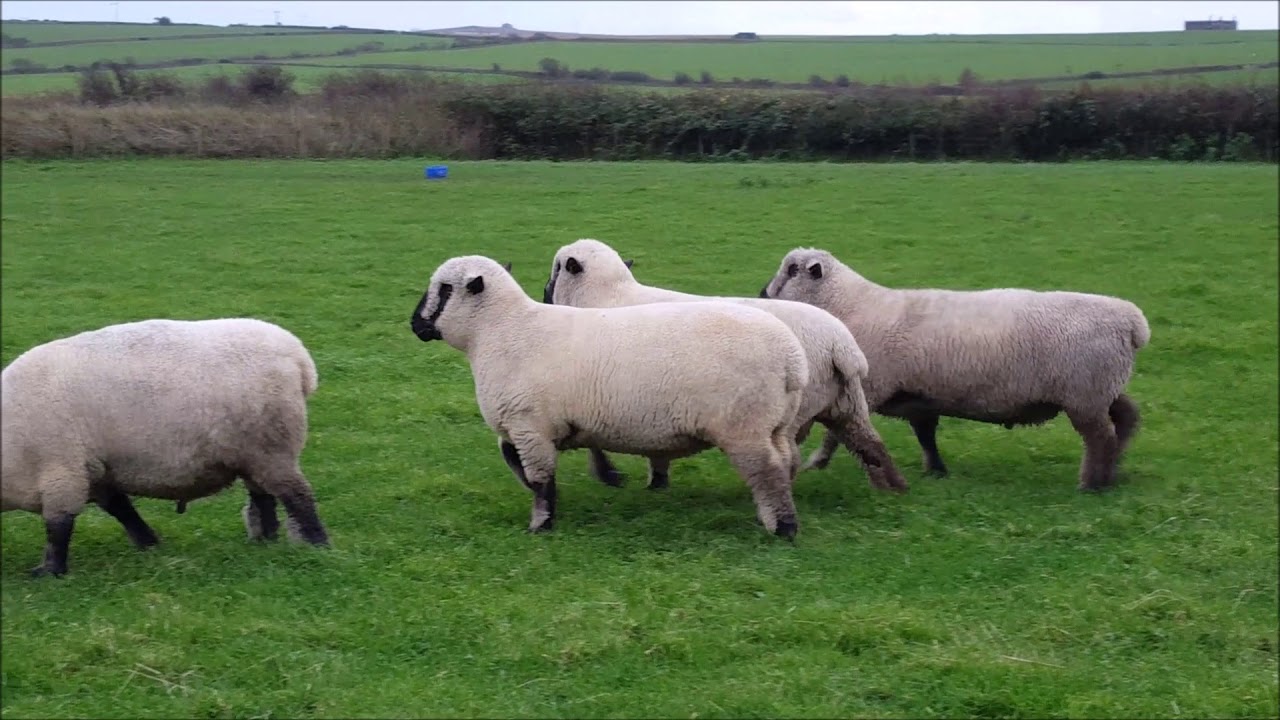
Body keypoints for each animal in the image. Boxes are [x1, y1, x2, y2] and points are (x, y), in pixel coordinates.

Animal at [1, 318, 331, 577]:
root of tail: (298, 358)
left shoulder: (62, 470)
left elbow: (58, 528)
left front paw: (49, 572)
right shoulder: (95, 471)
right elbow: (121, 509)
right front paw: (148, 543)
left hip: (273, 445)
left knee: (297, 495)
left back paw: (318, 545)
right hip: (253, 453)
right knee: (263, 496)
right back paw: (265, 541)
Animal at [410, 255, 811, 539]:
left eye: (444, 289)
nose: (414, 324)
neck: (501, 331)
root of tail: (792, 360)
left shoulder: (529, 426)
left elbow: (538, 479)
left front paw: (541, 523)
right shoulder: (528, 427)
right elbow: (517, 462)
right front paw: (601, 480)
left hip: (745, 426)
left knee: (767, 471)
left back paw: (784, 528)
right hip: (775, 424)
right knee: (785, 461)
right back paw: (777, 514)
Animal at [543, 238, 907, 494]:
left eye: (556, 268)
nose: (544, 295)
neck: (605, 296)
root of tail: (840, 345)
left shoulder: (592, 388)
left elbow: (592, 440)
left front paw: (611, 475)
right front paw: (653, 480)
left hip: (789, 414)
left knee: (788, 455)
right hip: (846, 405)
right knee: (870, 444)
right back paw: (893, 490)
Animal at [760, 247, 1151, 491]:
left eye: (791, 270)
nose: (762, 293)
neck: (849, 305)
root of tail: (1132, 321)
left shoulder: (865, 389)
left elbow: (838, 434)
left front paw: (817, 461)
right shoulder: (919, 399)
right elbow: (926, 436)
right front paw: (935, 470)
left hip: (1085, 393)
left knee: (1100, 437)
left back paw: (1091, 483)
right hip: (1102, 388)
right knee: (1126, 417)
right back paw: (1113, 469)